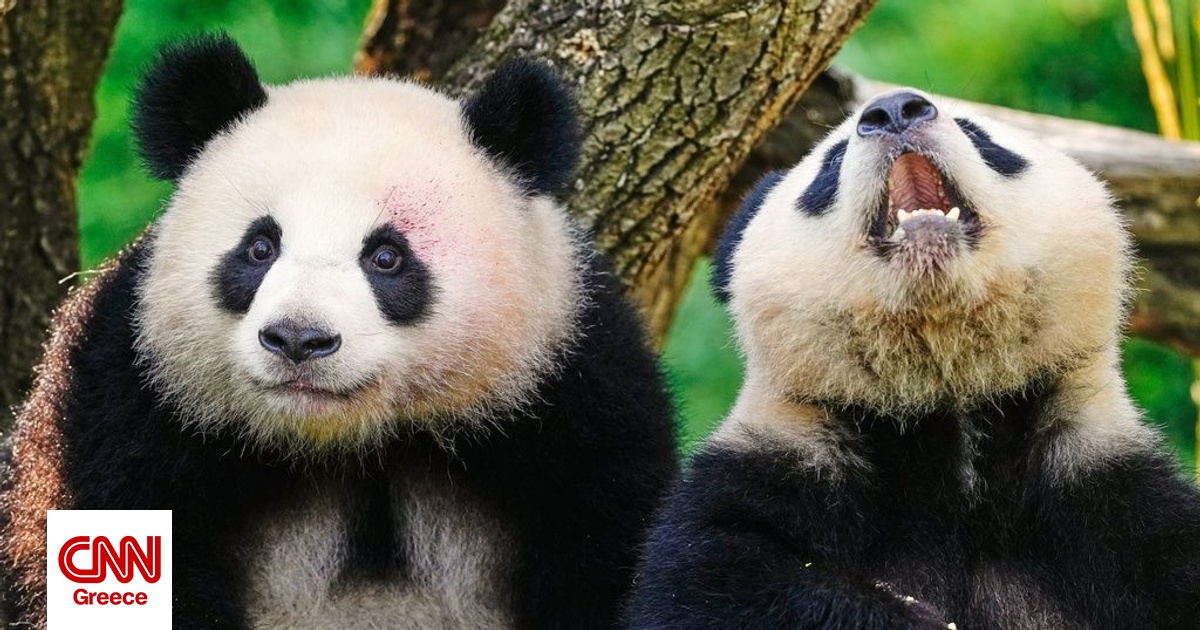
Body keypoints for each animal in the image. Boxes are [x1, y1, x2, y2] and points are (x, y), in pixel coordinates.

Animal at [0, 34, 678, 629]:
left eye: (386, 257)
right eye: (260, 247)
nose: (299, 339)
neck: (350, 443)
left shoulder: (573, 392)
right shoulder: (127, 393)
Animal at [625, 89, 1200, 629]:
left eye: (978, 134)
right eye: (831, 162)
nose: (894, 109)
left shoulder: (1109, 496)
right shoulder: (773, 470)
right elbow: (715, 587)